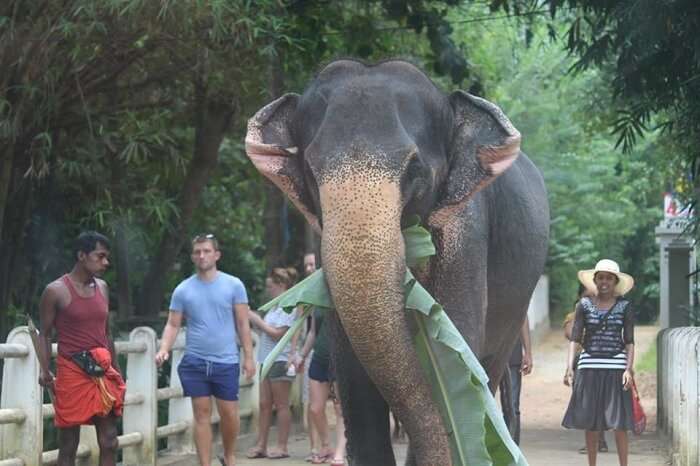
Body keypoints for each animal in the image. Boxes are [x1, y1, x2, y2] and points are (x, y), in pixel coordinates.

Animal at [245, 59, 549, 466]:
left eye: (414, 167)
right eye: (310, 169)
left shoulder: (465, 234)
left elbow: (455, 353)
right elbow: (355, 378)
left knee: (488, 369)